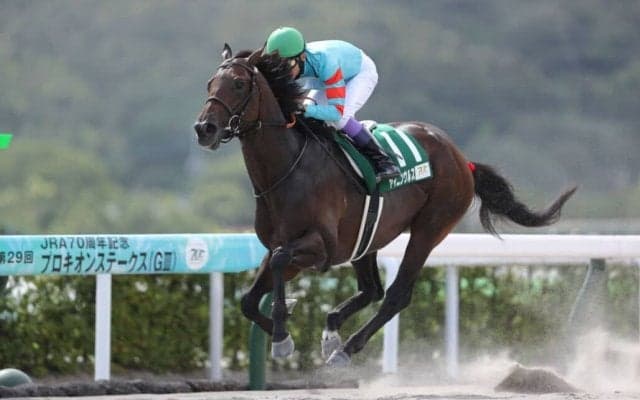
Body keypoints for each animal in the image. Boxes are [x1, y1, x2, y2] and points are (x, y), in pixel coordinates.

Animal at [193, 44, 577, 367]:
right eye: (210, 82)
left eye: (238, 84)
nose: (204, 128)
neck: (288, 169)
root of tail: (460, 157)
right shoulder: (282, 245)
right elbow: (249, 296)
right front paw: (283, 335)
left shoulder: (319, 247)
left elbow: (279, 261)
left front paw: (282, 334)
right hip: (368, 237)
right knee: (372, 289)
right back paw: (332, 332)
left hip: (429, 229)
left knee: (395, 295)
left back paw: (346, 349)